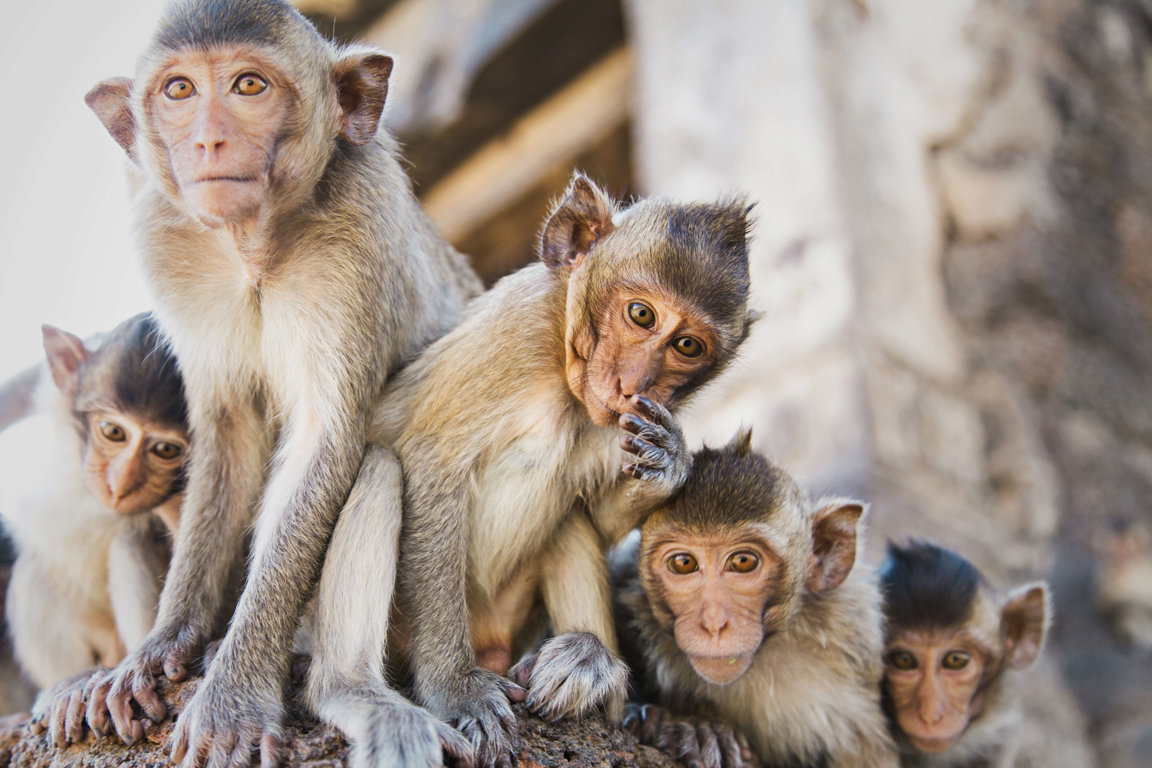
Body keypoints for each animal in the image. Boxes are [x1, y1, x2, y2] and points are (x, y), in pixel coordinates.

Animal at [0, 313, 186, 746]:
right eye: (113, 432)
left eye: (165, 450)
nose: (120, 485)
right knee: (36, 572)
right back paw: (68, 687)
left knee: (131, 539)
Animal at [84, 0, 481, 764]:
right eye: (179, 91)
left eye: (248, 86)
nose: (207, 140)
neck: (253, 249)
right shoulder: (165, 236)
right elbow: (230, 433)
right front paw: (163, 642)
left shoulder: (360, 226)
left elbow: (326, 440)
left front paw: (234, 692)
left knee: (375, 462)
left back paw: (346, 687)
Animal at [306, 173, 755, 768]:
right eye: (641, 315)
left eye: (687, 345)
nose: (634, 385)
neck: (562, 368)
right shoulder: (514, 333)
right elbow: (431, 464)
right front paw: (456, 689)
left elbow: (597, 516)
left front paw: (669, 464)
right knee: (381, 467)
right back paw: (352, 689)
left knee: (570, 522)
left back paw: (595, 674)